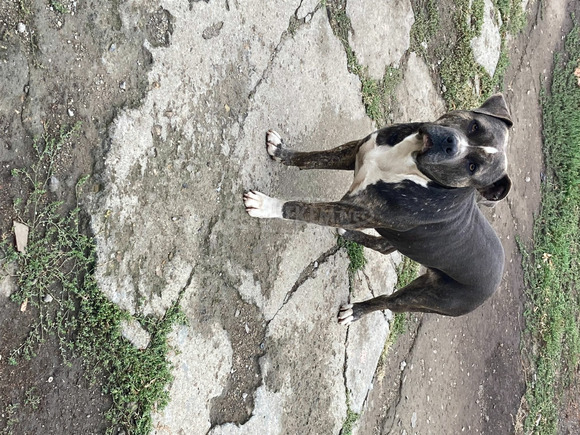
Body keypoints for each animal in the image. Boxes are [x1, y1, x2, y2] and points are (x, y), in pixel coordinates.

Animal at [242, 96, 510, 328]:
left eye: (472, 167)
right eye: (474, 126)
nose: (450, 143)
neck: (408, 160)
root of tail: (496, 282)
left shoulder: (355, 211)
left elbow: (302, 208)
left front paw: (265, 205)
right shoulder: (354, 151)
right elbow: (311, 158)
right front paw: (281, 152)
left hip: (423, 298)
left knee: (387, 301)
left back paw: (356, 311)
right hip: (405, 245)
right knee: (384, 246)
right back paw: (349, 235)